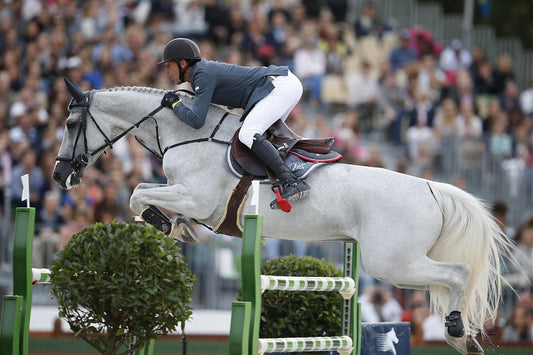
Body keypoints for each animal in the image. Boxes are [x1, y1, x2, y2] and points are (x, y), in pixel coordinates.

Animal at [54, 81, 516, 355]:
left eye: (72, 122)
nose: (61, 176)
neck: (186, 133)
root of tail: (432, 188)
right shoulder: (185, 194)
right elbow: (141, 192)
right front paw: (172, 225)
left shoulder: (197, 197)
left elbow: (137, 193)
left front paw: (165, 222)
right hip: (396, 263)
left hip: (393, 263)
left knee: (458, 273)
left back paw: (456, 330)